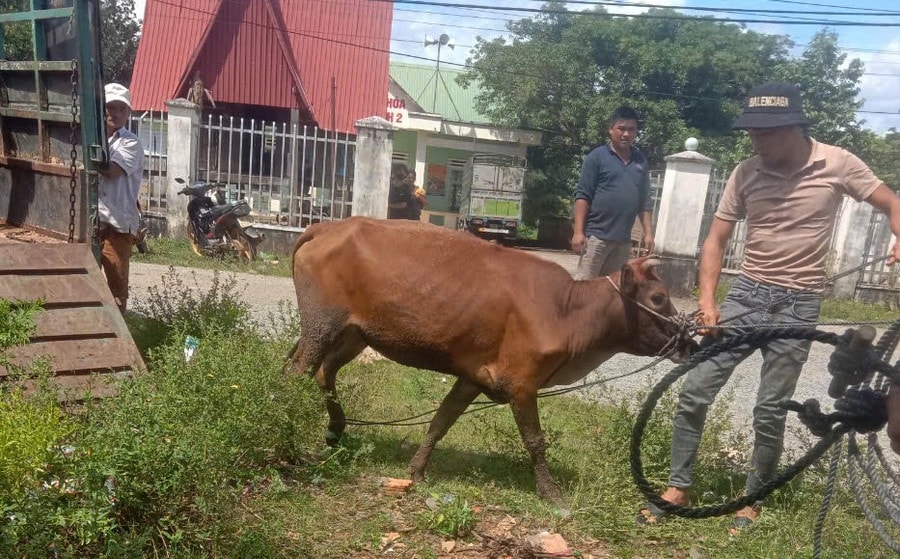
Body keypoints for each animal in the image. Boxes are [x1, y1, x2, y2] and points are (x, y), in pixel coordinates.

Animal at [288, 215, 696, 504]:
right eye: (658, 298)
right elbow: (535, 441)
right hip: (323, 324)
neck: (567, 311)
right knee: (298, 372)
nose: (689, 343)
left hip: (352, 335)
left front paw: (417, 471)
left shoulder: (473, 376)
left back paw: (336, 431)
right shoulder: (521, 383)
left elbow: (441, 421)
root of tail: (328, 226)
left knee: (323, 373)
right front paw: (551, 493)